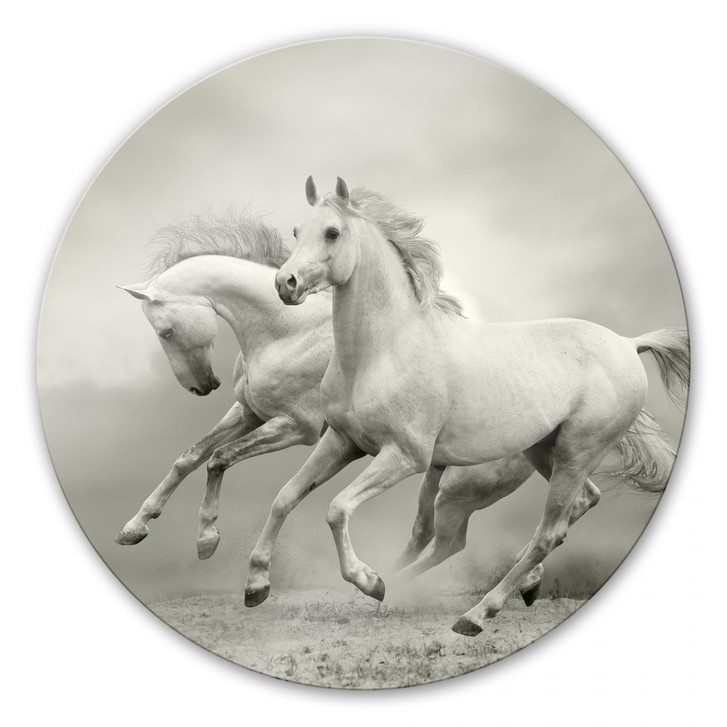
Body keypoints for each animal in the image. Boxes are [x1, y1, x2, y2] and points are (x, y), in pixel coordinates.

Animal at [114, 213, 541, 593]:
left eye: (166, 331)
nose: (202, 387)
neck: (287, 331)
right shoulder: (250, 413)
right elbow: (190, 457)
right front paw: (135, 527)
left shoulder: (295, 427)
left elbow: (220, 459)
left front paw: (207, 540)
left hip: (462, 483)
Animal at [244, 177, 688, 636]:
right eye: (297, 231)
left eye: (332, 232)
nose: (285, 284)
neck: (383, 351)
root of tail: (628, 344)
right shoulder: (342, 442)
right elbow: (286, 496)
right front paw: (256, 586)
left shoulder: (405, 456)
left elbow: (336, 508)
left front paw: (368, 581)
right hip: (545, 450)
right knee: (578, 506)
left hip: (574, 454)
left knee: (545, 533)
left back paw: (474, 614)